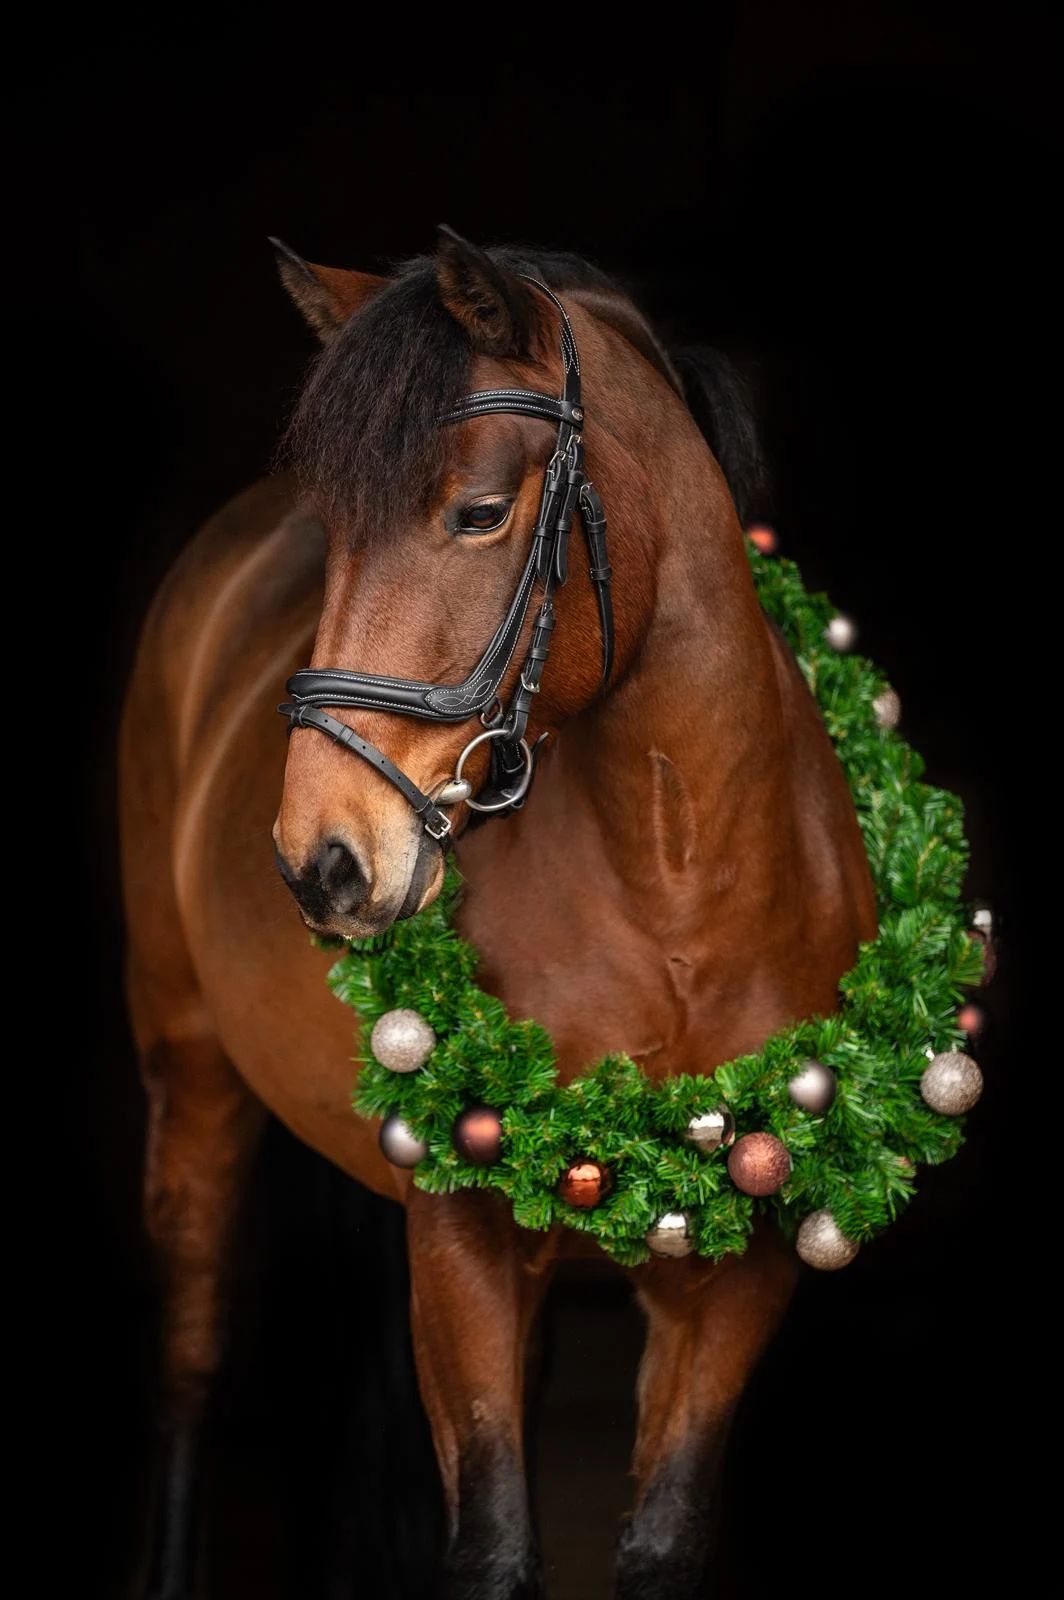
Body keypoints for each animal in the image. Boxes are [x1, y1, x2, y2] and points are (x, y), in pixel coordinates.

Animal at [120, 227, 876, 1599]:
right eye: (331, 528)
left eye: (476, 514)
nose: (320, 862)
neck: (675, 886)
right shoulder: (460, 1238)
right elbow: (491, 1544)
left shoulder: (739, 1267)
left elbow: (659, 1539)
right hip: (189, 1068)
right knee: (190, 1367)